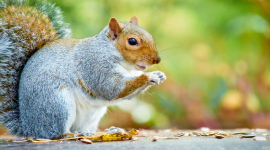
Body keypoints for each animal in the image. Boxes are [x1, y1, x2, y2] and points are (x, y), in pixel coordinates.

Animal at [0, 0, 167, 139]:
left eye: (150, 35)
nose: (157, 60)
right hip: (56, 104)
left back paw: (102, 132)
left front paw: (158, 75)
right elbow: (112, 88)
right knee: (54, 133)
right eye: (132, 41)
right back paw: (73, 134)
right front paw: (148, 76)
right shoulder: (94, 66)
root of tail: (29, 128)